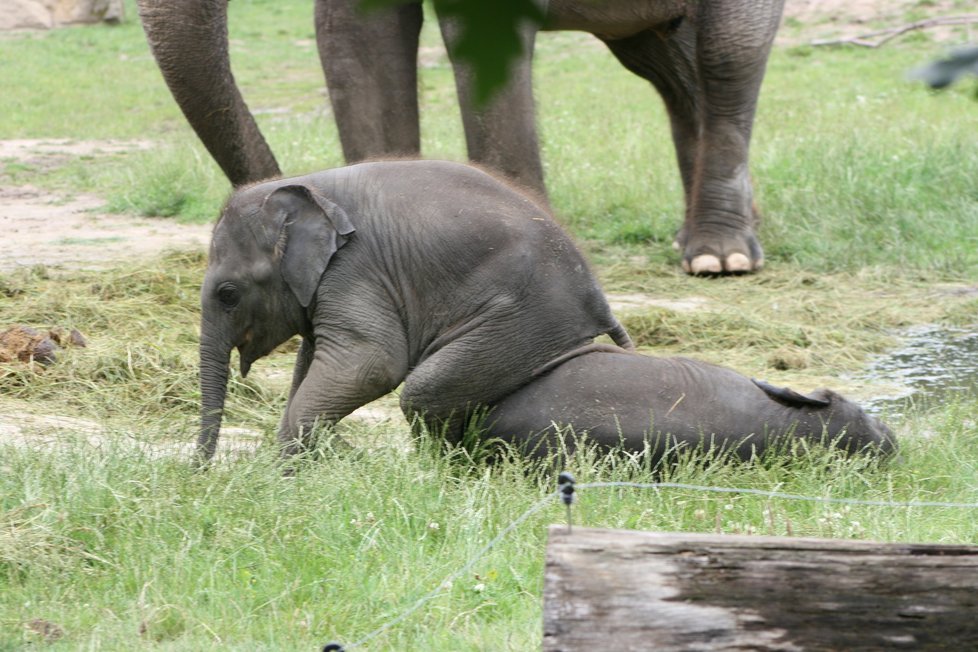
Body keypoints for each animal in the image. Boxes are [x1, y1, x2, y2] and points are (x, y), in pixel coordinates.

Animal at [194, 160, 628, 460]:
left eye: (229, 294)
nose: (200, 473)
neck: (309, 187)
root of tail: (597, 297)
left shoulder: (355, 269)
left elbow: (370, 363)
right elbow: (312, 363)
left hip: (521, 322)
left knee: (425, 390)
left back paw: (438, 473)